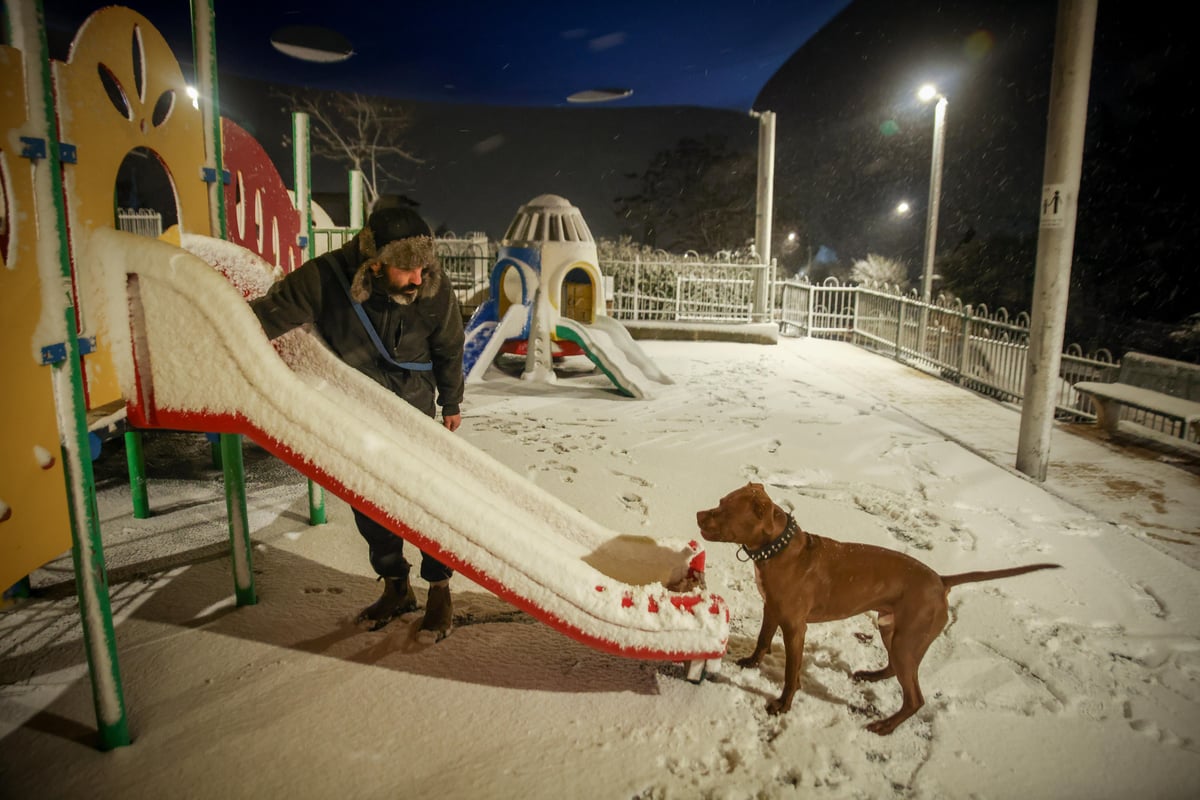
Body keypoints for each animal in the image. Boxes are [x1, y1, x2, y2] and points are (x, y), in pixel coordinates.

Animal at [696, 484, 1060, 734]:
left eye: (724, 508)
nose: (698, 514)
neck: (777, 549)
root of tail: (941, 580)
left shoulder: (795, 626)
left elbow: (791, 673)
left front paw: (783, 704)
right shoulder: (772, 609)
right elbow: (761, 640)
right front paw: (750, 663)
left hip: (906, 639)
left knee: (915, 697)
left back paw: (885, 727)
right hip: (892, 629)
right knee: (896, 670)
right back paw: (871, 676)